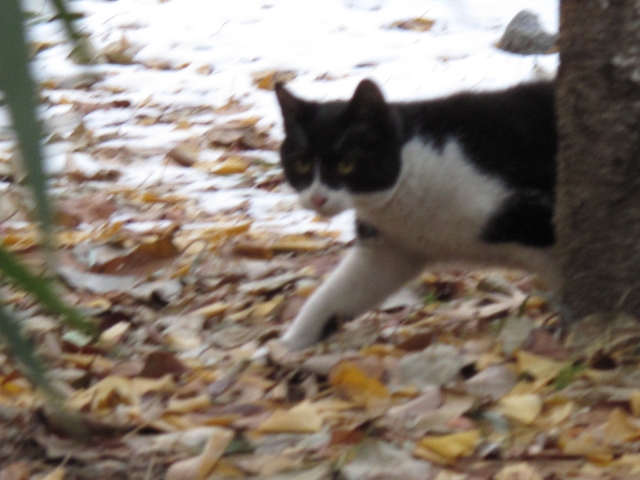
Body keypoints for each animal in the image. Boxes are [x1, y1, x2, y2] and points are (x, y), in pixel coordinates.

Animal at [275, 79, 559, 350]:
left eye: (347, 164)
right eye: (302, 163)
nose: (317, 197)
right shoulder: (389, 251)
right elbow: (333, 295)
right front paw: (287, 346)